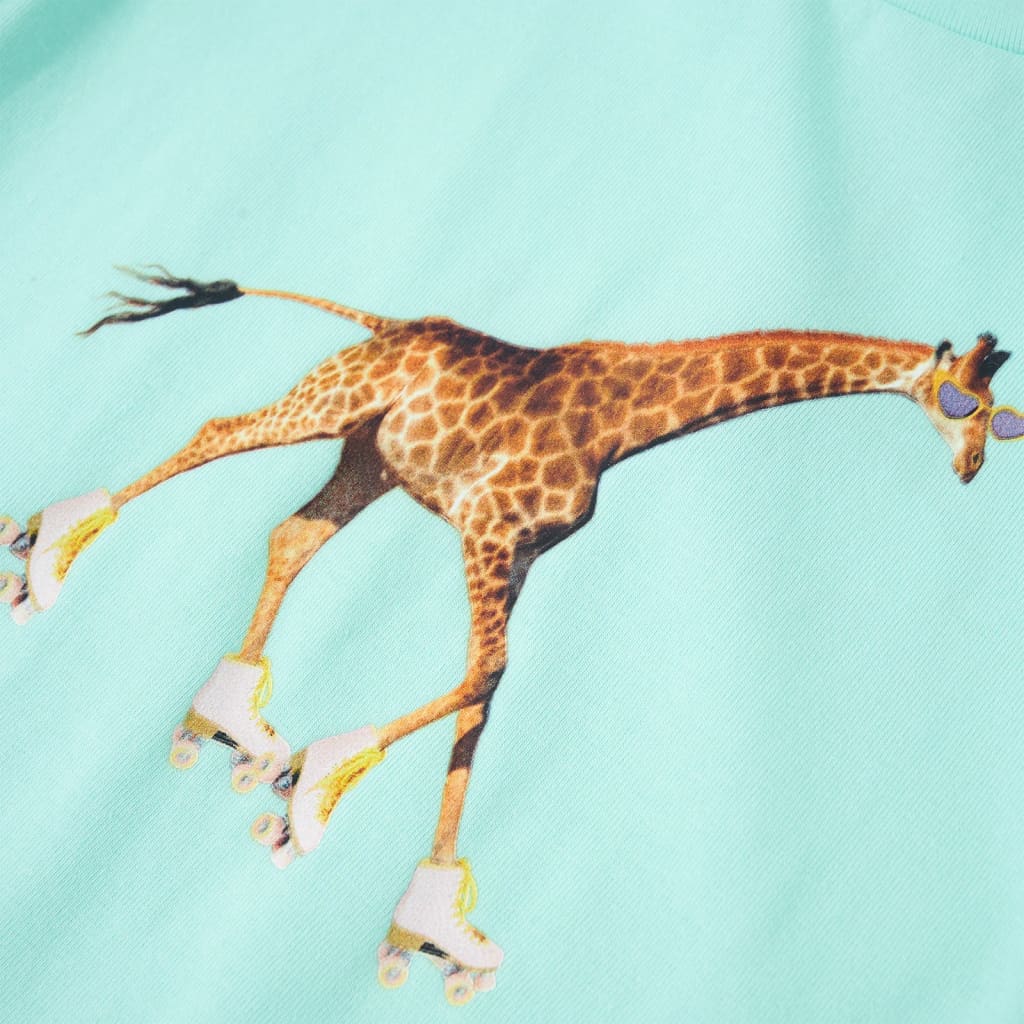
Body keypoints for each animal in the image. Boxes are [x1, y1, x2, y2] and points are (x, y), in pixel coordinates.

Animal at [1, 268, 1020, 1005]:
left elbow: (482, 696)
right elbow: (488, 674)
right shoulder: (489, 531)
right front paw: (317, 787)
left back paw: (226, 717)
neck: (622, 425)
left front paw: (427, 925)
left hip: (369, 454)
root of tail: (386, 322)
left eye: (1001, 424)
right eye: (962, 405)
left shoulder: (518, 552)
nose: (972, 471)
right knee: (218, 431)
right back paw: (49, 555)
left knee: (289, 535)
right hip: (331, 408)